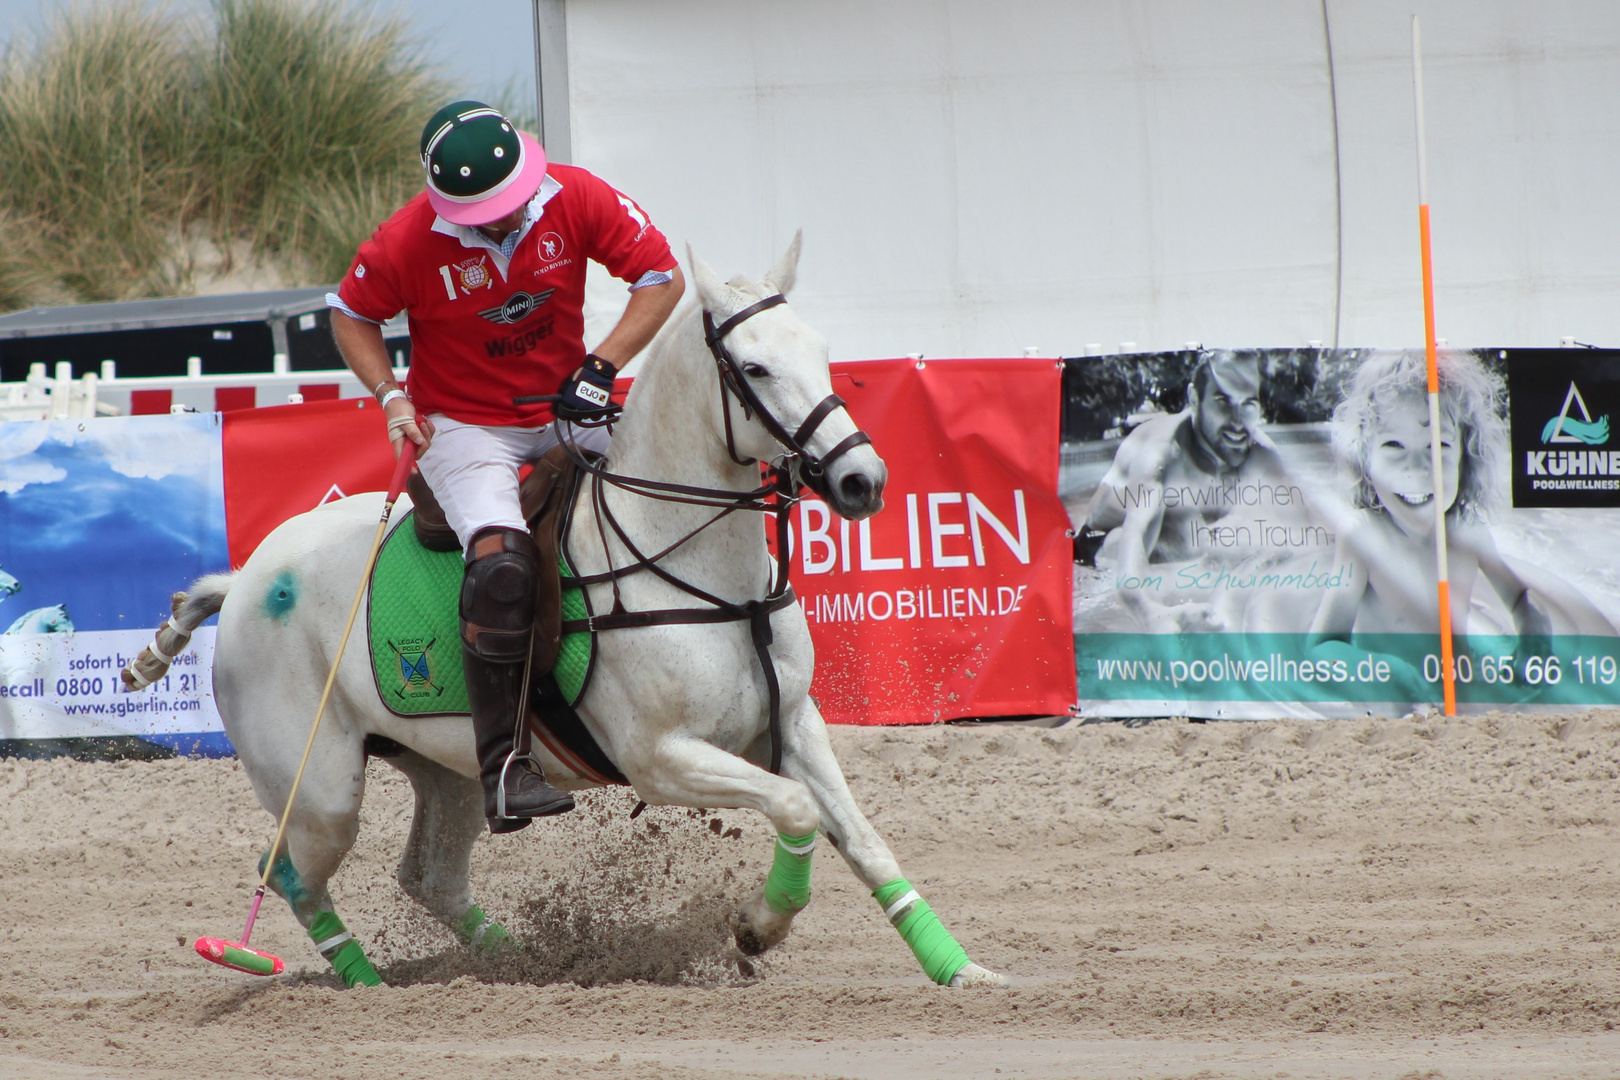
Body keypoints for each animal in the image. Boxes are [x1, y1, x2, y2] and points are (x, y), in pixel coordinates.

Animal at [139, 241, 1004, 990]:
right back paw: (364, 983)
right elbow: (794, 809)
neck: (703, 572)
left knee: (428, 876)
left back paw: (516, 962)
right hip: (319, 789)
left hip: (449, 769)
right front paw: (756, 927)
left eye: (822, 352)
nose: (864, 481)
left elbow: (865, 841)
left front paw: (960, 970)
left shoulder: (792, 723)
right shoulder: (660, 758)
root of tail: (245, 579)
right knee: (289, 875)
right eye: (755, 366)